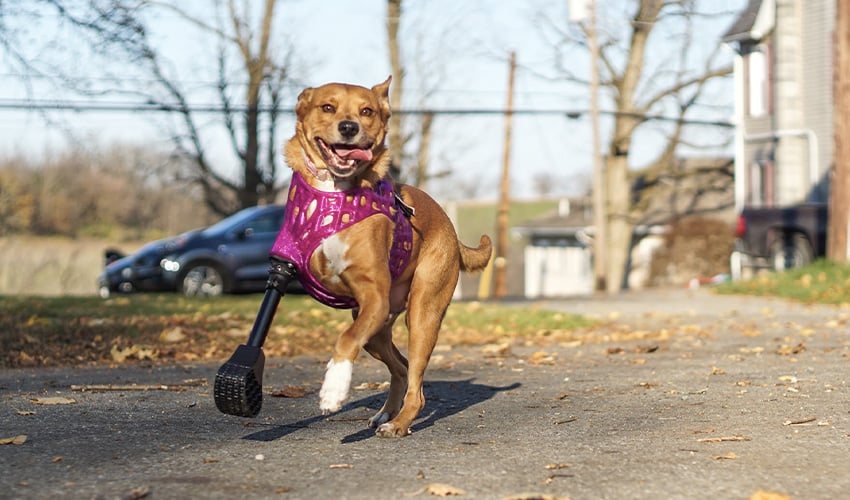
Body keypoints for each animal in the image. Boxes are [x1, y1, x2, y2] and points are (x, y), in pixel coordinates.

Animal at [280, 76, 486, 436]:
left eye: (367, 111)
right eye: (327, 107)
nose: (349, 127)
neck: (335, 190)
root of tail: (450, 226)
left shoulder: (373, 298)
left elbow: (346, 340)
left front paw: (334, 388)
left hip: (420, 314)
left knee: (416, 384)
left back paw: (399, 422)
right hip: (376, 330)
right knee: (402, 367)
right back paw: (386, 412)